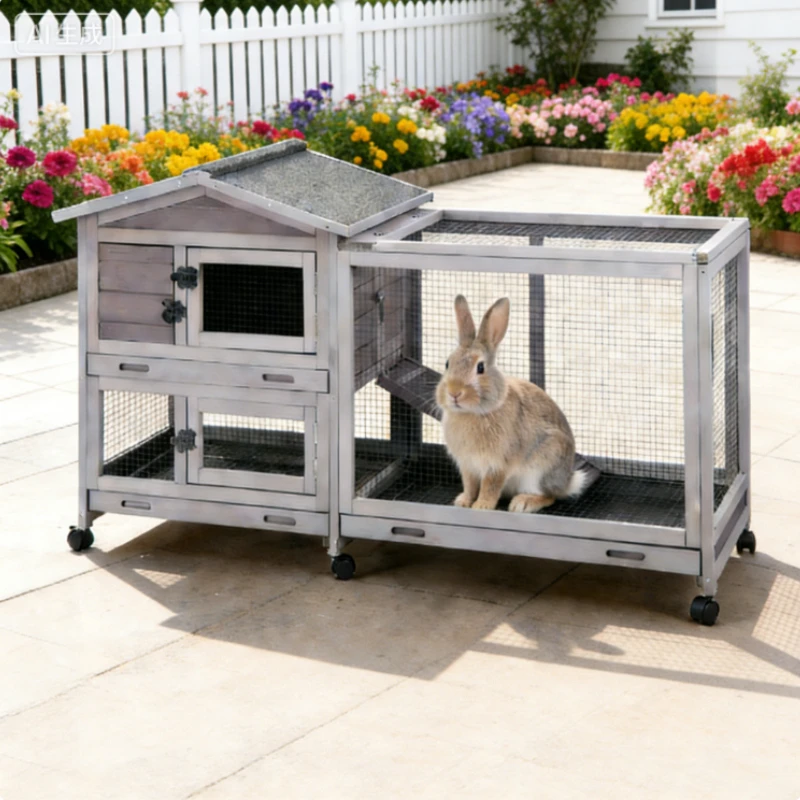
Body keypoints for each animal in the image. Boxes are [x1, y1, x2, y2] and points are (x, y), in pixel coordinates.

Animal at [435, 294, 590, 513]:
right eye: (448, 363)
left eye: (480, 368)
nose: (454, 392)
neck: (474, 413)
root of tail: (567, 482)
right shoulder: (468, 465)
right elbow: (471, 484)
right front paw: (464, 501)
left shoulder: (498, 463)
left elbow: (490, 486)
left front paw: (482, 506)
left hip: (542, 466)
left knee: (549, 496)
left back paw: (523, 503)